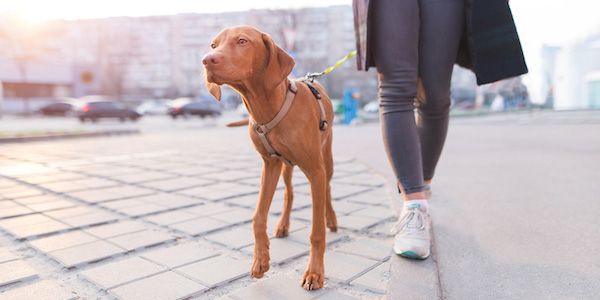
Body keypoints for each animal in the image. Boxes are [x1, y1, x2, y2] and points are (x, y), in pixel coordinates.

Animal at [203, 26, 338, 290]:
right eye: (214, 45)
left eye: (242, 41)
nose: (206, 60)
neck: (268, 108)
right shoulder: (270, 164)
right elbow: (258, 216)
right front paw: (260, 260)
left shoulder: (315, 170)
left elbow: (316, 232)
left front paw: (314, 273)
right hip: (286, 167)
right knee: (289, 193)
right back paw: (283, 225)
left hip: (326, 160)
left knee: (327, 188)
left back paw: (331, 219)